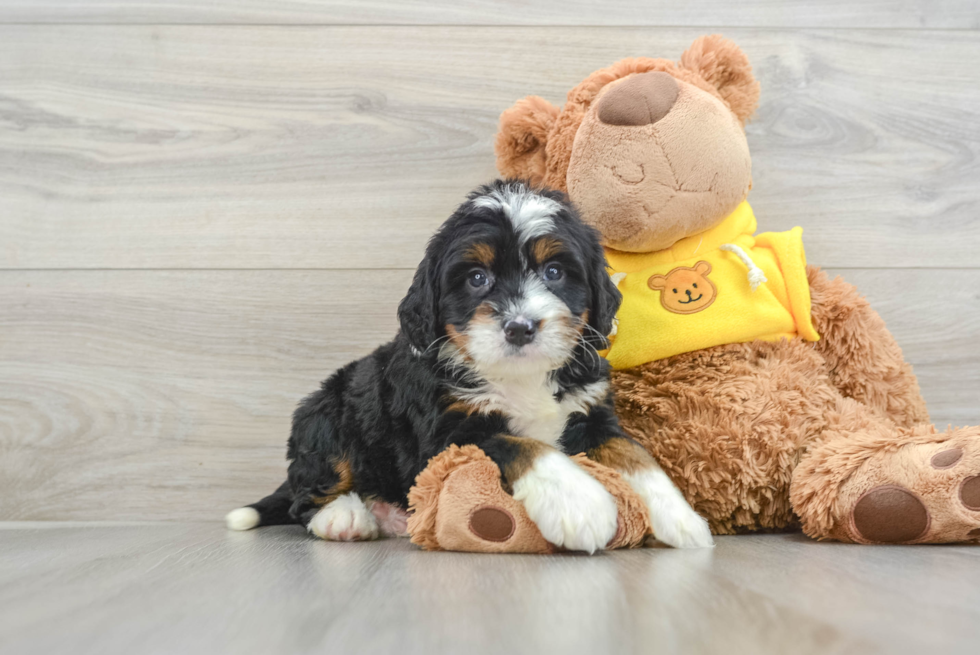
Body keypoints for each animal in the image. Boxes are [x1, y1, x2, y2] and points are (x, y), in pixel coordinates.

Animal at [225, 181, 708, 552]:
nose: (520, 327)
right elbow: (521, 444)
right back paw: (344, 517)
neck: (520, 374)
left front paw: (679, 517)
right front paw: (579, 504)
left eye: (554, 272)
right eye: (477, 278)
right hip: (324, 413)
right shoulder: (448, 432)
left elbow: (634, 454)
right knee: (305, 493)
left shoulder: (591, 410)